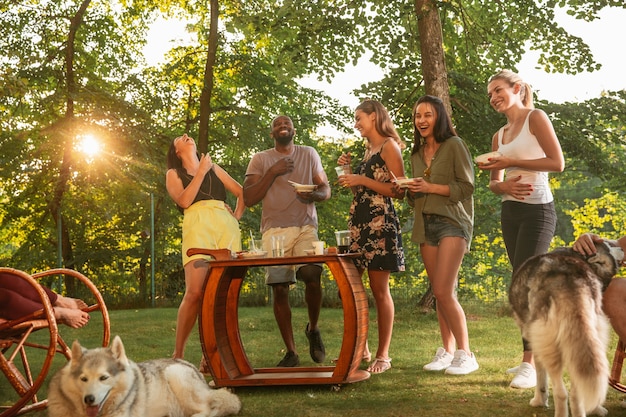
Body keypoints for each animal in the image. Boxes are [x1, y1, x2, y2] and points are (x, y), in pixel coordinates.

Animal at [508, 240, 620, 416]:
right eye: (610, 244)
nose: (620, 246)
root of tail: (570, 277)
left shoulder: (534, 340)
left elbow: (541, 376)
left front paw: (538, 401)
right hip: (590, 338)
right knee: (577, 392)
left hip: (550, 344)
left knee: (561, 393)